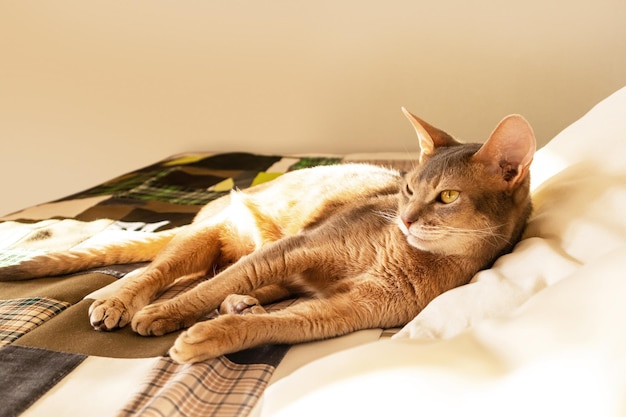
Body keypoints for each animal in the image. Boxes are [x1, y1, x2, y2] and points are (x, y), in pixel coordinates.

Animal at [1, 109, 536, 362]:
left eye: (447, 197)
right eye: (406, 189)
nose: (404, 219)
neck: (408, 254)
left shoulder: (351, 311)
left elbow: (283, 324)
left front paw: (212, 336)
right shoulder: (299, 247)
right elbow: (206, 288)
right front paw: (165, 314)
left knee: (240, 287)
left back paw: (243, 305)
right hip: (213, 233)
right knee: (162, 271)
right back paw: (119, 300)